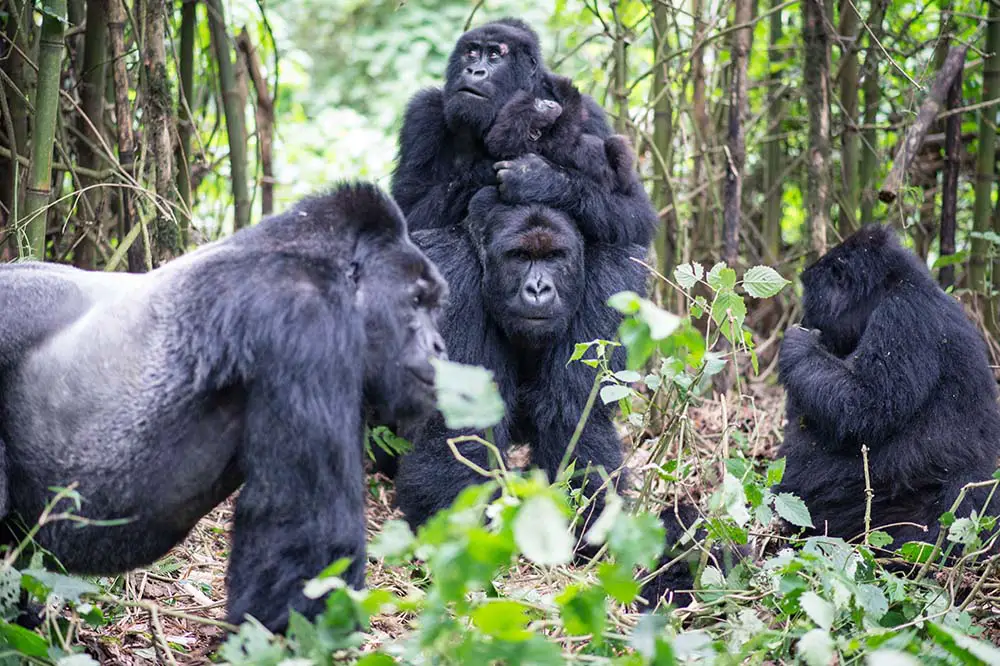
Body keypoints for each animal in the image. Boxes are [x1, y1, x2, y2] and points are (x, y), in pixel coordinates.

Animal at [388, 17, 656, 246]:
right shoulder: (422, 112)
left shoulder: (592, 114)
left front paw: (539, 179)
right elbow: (409, 214)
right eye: (471, 53)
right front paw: (492, 168)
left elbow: (635, 213)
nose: (474, 71)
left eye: (494, 55)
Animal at [390, 187, 648, 536]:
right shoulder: (452, 277)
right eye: (519, 257)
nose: (538, 289)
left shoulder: (611, 280)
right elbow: (461, 428)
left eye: (554, 257)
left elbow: (574, 418)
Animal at [640, 224, 1000, 608]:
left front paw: (798, 345)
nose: (804, 318)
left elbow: (865, 406)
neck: (895, 284)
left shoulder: (903, 316)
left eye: (811, 296)